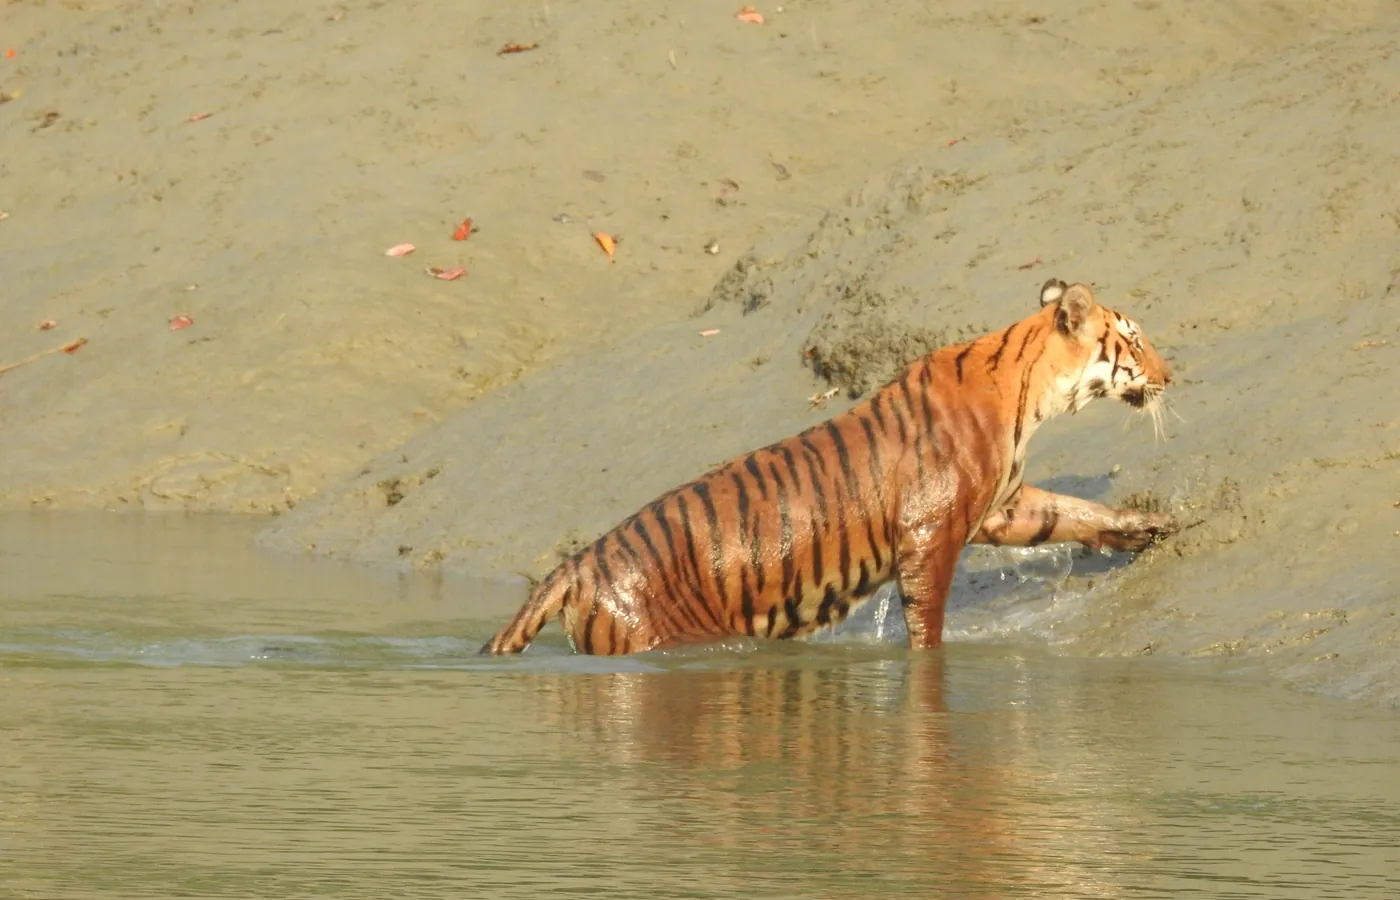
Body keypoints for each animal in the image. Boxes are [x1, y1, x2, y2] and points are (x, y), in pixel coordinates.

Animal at [482, 278, 1178, 656]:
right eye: (1135, 339)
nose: (1172, 375)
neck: (1032, 393)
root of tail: (574, 565)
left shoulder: (1000, 506)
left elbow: (1071, 512)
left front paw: (1149, 527)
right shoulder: (931, 533)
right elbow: (926, 623)